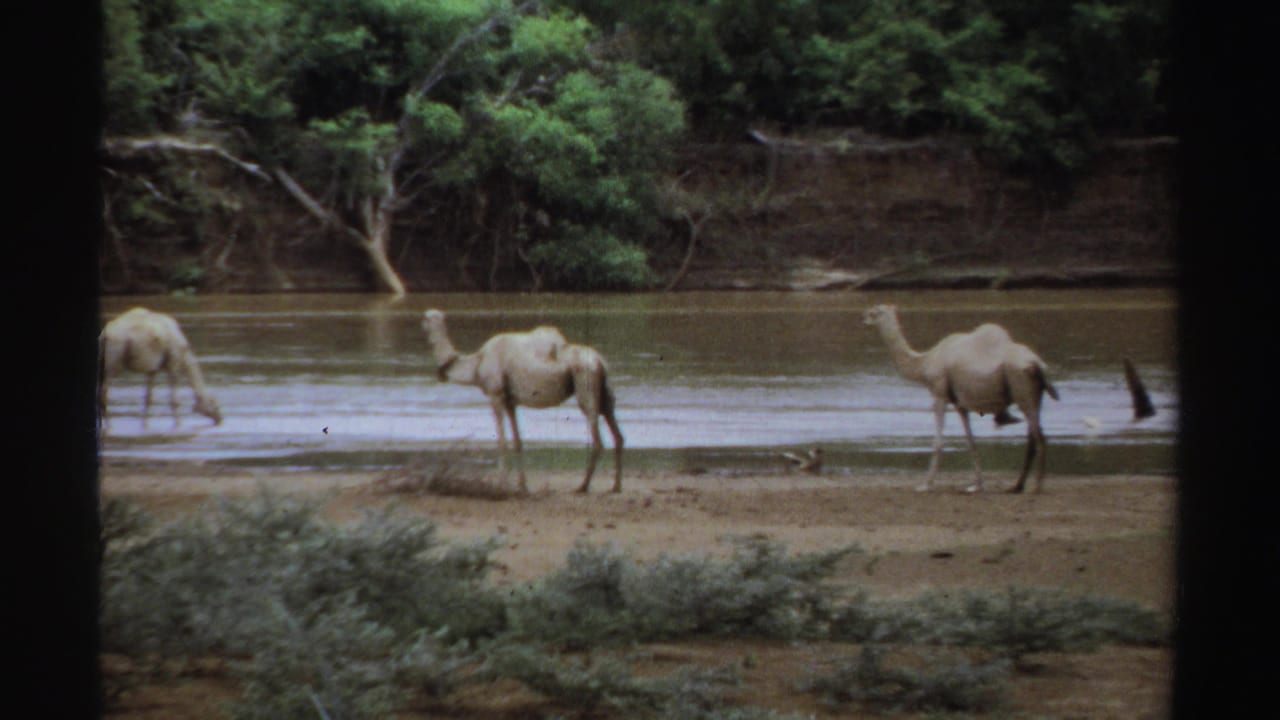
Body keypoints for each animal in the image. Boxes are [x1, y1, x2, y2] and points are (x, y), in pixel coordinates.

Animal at [421, 309, 624, 494]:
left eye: (426, 318)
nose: (421, 323)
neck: (477, 365)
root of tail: (600, 361)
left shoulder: (495, 395)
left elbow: (502, 442)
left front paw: (500, 485)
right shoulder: (510, 401)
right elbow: (518, 441)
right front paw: (522, 486)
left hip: (585, 383)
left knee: (597, 439)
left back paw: (583, 486)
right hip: (605, 394)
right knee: (617, 434)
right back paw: (615, 486)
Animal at [863, 304, 1059, 493]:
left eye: (874, 312)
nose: (864, 318)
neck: (925, 362)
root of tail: (1036, 364)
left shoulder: (939, 393)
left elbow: (938, 442)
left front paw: (925, 485)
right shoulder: (959, 404)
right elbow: (970, 441)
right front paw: (977, 485)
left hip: (1022, 389)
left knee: (1039, 437)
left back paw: (1036, 487)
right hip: (1035, 394)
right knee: (1033, 437)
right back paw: (1016, 486)